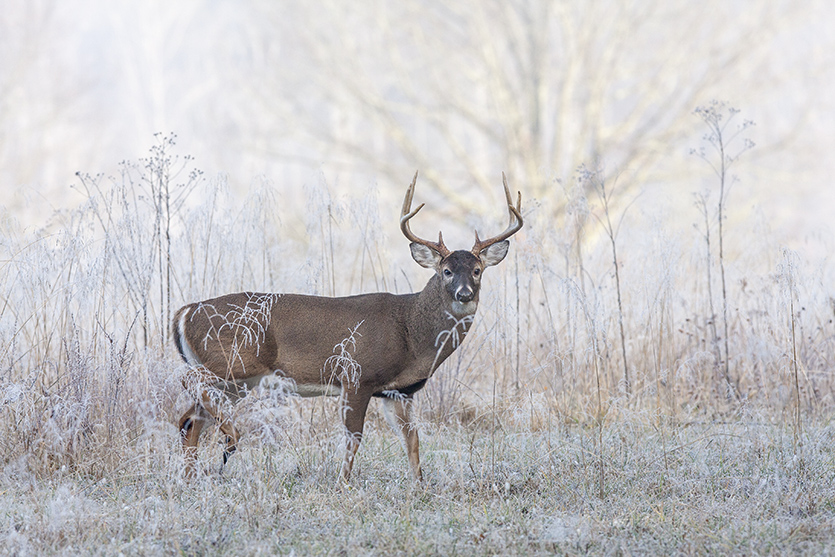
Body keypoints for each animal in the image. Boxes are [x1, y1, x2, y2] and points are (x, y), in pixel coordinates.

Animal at [173, 171, 523, 481]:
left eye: (477, 270)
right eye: (446, 271)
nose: (464, 293)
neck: (410, 333)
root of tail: (185, 312)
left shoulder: (399, 392)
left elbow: (412, 440)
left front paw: (419, 486)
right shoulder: (356, 375)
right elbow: (354, 437)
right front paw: (343, 483)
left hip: (238, 382)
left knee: (190, 420)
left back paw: (192, 476)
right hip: (234, 361)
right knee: (189, 385)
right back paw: (230, 438)